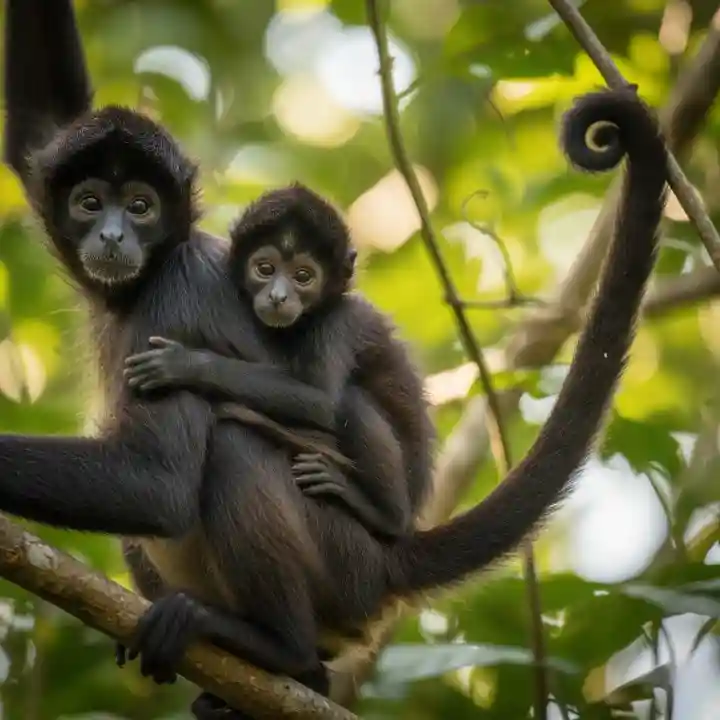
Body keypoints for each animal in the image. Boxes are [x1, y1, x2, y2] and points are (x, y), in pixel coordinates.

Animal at [2, 2, 669, 718]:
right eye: (89, 202)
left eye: (141, 206)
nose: (113, 234)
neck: (137, 287)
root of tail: (388, 559)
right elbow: (40, 127)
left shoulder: (178, 298)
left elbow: (160, 485)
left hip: (341, 556)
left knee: (235, 447)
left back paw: (281, 650)